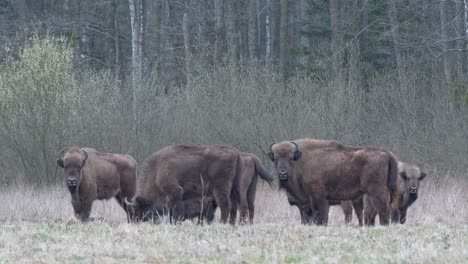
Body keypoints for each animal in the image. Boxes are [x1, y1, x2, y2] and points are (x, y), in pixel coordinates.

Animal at [268, 139, 396, 226]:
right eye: (275, 159)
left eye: (291, 158)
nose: (283, 173)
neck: (301, 161)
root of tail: (386, 153)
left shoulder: (318, 198)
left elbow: (321, 217)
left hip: (376, 191)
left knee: (383, 210)